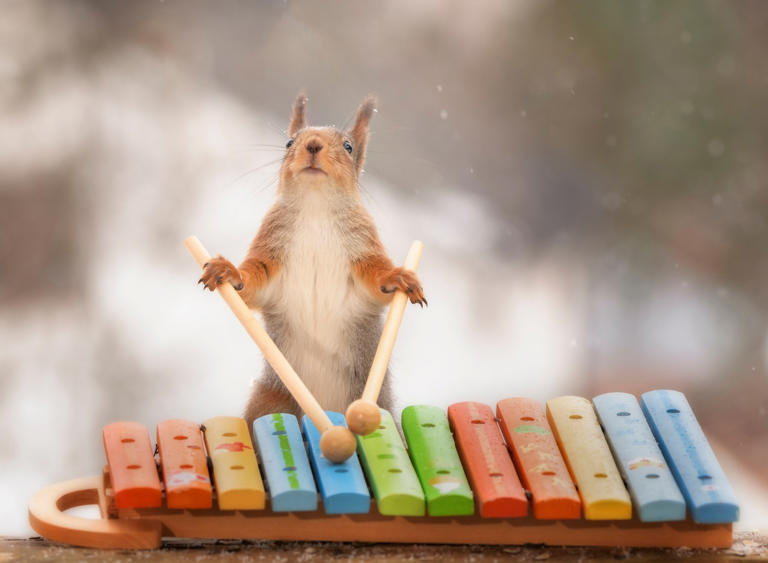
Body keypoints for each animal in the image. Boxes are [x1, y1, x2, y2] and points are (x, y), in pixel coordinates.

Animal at [198, 93, 426, 427]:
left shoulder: (363, 251)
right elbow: (252, 284)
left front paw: (399, 278)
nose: (313, 144)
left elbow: (376, 279)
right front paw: (226, 271)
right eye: (289, 142)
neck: (315, 209)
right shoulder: (270, 249)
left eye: (348, 146)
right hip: (272, 399)